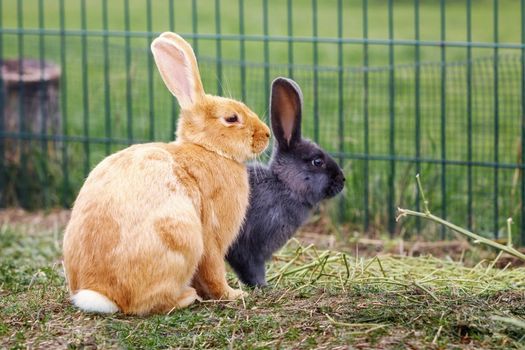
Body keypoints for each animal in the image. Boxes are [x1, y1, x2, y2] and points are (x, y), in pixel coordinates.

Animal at [62, 32, 270, 316]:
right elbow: (213, 271)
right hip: (182, 236)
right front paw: (234, 295)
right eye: (231, 118)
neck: (208, 149)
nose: (267, 135)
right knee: (149, 303)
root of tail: (103, 294)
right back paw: (187, 297)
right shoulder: (211, 239)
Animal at [225, 77, 344, 288]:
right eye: (317, 162)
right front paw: (263, 286)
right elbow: (251, 269)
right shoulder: (251, 248)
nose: (343, 180)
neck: (284, 185)